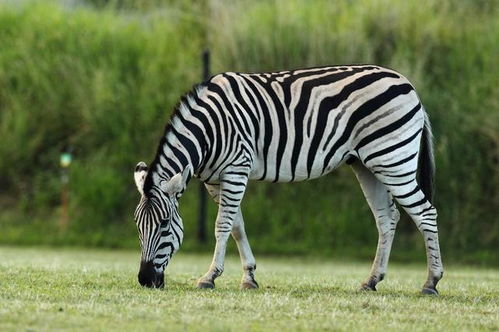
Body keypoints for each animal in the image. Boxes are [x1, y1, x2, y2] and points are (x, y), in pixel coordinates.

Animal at [133, 63, 446, 294]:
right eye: (138, 226)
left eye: (164, 224)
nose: (146, 280)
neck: (209, 130)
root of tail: (407, 84)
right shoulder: (215, 180)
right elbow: (237, 226)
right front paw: (249, 278)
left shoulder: (236, 168)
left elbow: (222, 225)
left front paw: (209, 277)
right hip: (368, 164)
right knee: (387, 218)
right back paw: (371, 281)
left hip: (392, 159)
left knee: (425, 213)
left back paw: (431, 282)